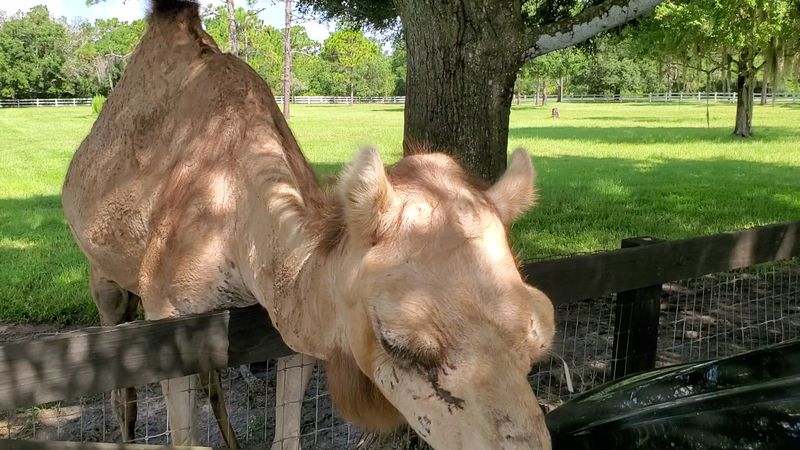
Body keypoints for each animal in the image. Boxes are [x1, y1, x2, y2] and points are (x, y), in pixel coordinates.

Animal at [61, 1, 556, 449]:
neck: (233, 224)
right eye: (400, 346)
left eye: (538, 337)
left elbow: (287, 433)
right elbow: (182, 435)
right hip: (104, 275)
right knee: (120, 377)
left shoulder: (292, 331)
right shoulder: (167, 313)